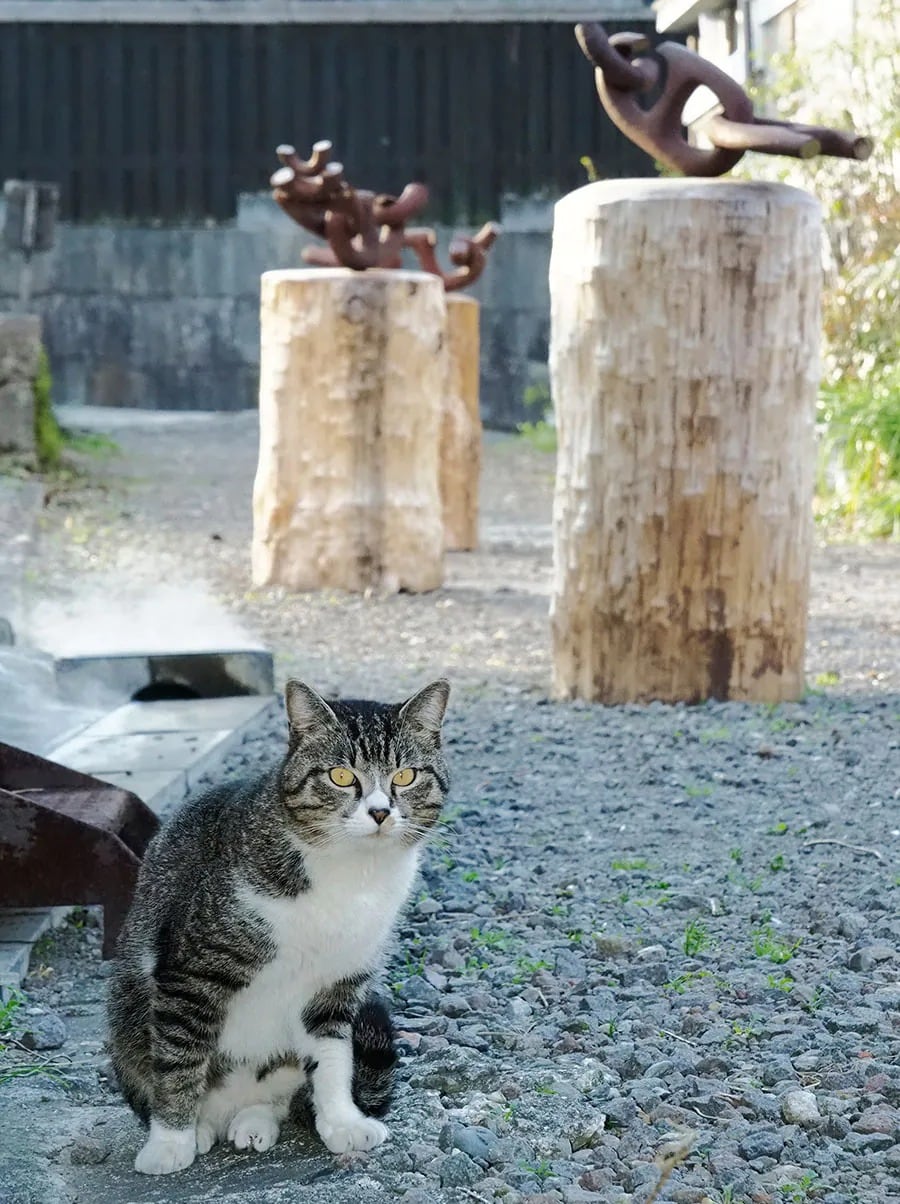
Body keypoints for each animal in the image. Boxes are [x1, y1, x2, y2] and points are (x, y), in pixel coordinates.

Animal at [107, 679, 450, 1175]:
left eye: (405, 776)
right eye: (341, 776)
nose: (380, 812)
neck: (351, 873)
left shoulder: (340, 981)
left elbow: (334, 1057)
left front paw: (342, 1121)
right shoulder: (191, 970)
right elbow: (178, 1057)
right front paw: (170, 1142)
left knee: (274, 1094)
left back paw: (254, 1122)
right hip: (125, 1019)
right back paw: (200, 1129)